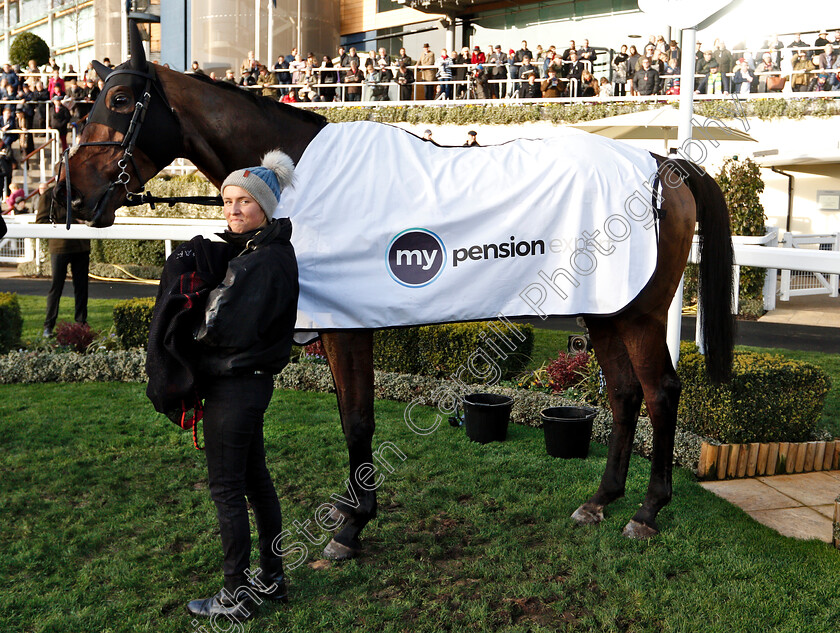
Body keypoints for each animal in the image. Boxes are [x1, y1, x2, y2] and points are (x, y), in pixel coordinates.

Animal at [55, 24, 732, 556]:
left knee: (660, 392)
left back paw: (646, 512)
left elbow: (358, 420)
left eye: (119, 99)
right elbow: (349, 416)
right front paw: (353, 513)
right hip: (606, 310)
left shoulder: (347, 329)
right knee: (623, 393)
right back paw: (601, 499)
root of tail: (662, 164)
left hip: (640, 312)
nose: (70, 198)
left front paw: (350, 528)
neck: (301, 179)